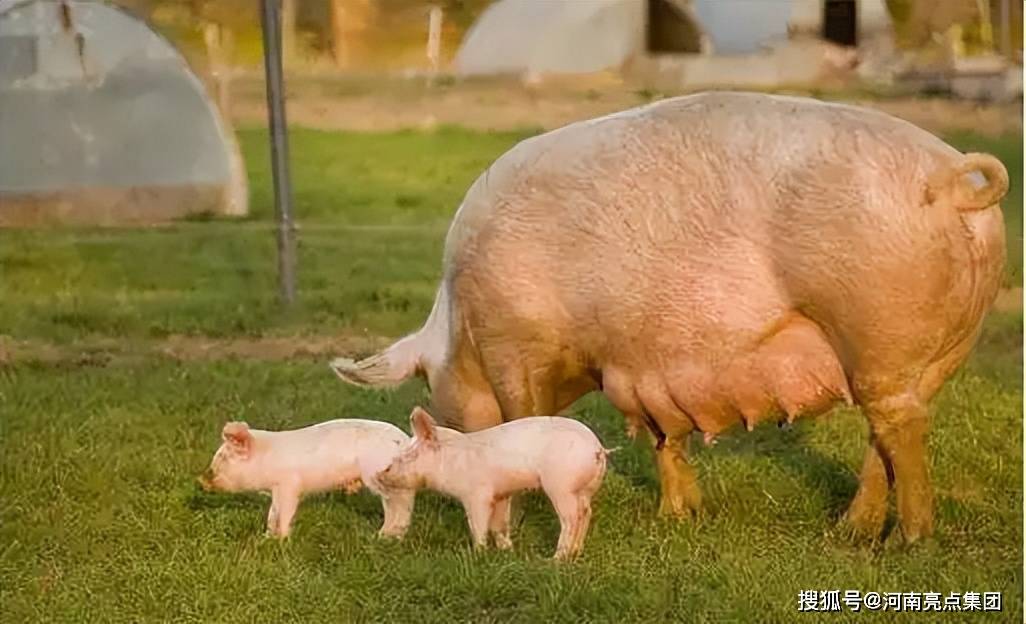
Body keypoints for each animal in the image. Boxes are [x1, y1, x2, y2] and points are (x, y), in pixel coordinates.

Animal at [330, 90, 1009, 541]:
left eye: (427, 382)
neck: (461, 323)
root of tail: (951, 179)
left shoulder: (516, 347)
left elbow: (527, 419)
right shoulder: (641, 363)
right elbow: (663, 437)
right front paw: (680, 516)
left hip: (877, 327)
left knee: (898, 429)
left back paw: (908, 542)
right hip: (932, 352)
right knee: (887, 433)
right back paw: (851, 533)